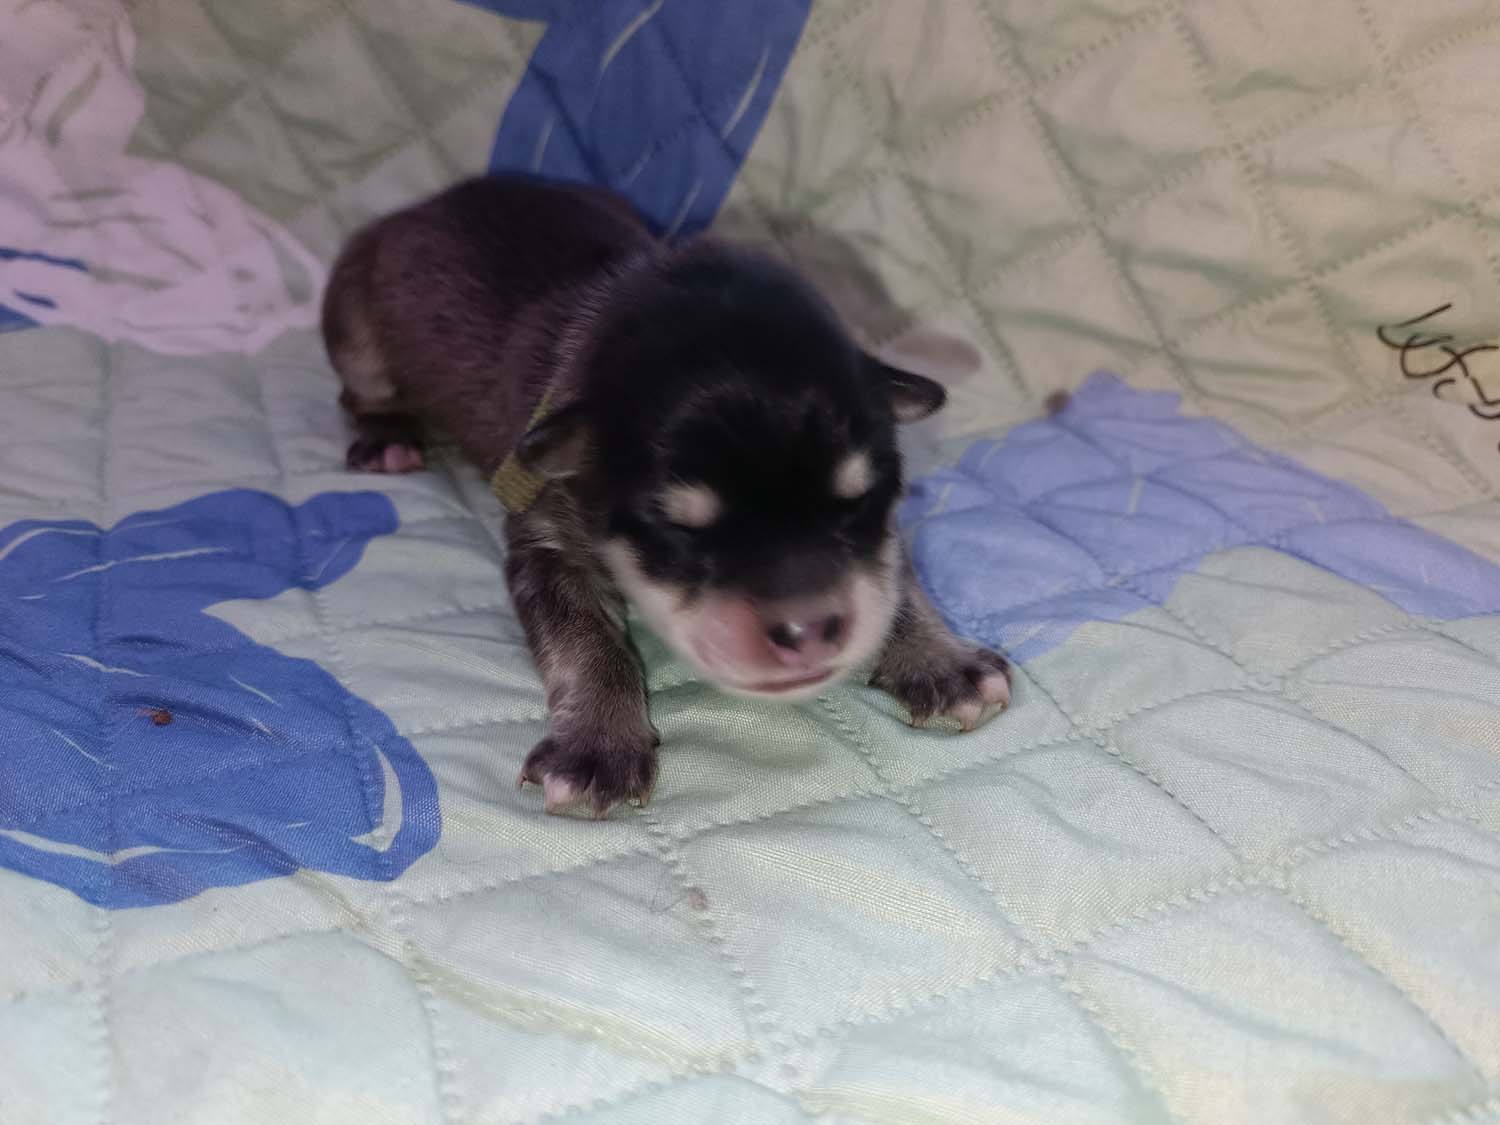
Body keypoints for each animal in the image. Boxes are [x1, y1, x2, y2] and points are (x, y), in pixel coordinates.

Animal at [322, 175, 1011, 816]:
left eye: (859, 502)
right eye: (678, 528)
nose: (810, 629)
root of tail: (430, 202)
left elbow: (895, 580)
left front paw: (942, 662)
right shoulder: (546, 532)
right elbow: (586, 638)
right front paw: (596, 747)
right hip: (357, 323)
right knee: (361, 391)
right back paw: (387, 438)